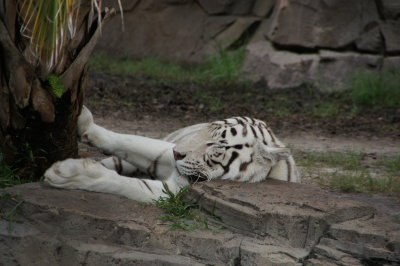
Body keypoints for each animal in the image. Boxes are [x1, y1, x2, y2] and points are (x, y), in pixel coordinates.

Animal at [44, 106, 300, 202]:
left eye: (215, 144)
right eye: (207, 128)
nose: (178, 153)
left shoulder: (174, 192)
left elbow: (122, 183)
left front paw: (68, 173)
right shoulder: (165, 155)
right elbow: (130, 140)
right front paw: (83, 122)